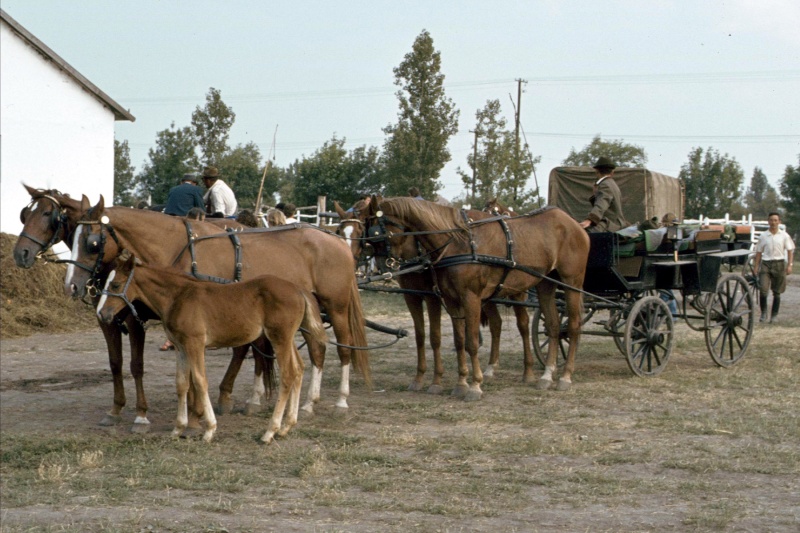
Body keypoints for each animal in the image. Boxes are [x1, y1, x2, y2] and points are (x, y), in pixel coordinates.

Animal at [14, 185, 276, 430]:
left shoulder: (136, 319)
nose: (20, 253)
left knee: (249, 348)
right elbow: (116, 363)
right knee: (248, 348)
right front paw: (116, 409)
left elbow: (137, 365)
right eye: (25, 215)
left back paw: (248, 399)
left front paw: (143, 415)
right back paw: (231, 397)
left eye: (49, 215)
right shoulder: (106, 318)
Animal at [63, 197, 372, 414]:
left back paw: (341, 401)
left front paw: (193, 410)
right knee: (318, 350)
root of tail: (337, 240)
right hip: (309, 313)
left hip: (336, 307)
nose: (71, 285)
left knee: (344, 348)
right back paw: (308, 402)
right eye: (71, 237)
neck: (179, 248)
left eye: (92, 242)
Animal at [97, 251, 328, 442]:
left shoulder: (195, 344)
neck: (178, 297)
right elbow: (181, 383)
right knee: (299, 369)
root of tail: (299, 290)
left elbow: (200, 382)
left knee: (289, 374)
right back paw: (286, 426)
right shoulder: (180, 347)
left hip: (279, 338)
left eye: (115, 285)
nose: (102, 314)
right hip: (286, 339)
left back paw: (270, 431)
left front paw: (209, 430)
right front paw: (177, 429)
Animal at [334, 200, 536, 390]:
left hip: (517, 292)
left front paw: (436, 380)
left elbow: (435, 336)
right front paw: (419, 378)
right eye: (339, 231)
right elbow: (420, 335)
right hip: (489, 295)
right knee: (496, 324)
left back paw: (528, 370)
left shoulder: (432, 296)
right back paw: (491, 367)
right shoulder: (412, 296)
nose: (347, 265)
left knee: (523, 326)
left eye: (362, 232)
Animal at [364, 195, 588, 400]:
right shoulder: (451, 300)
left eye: (377, 233)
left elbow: (471, 342)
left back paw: (564, 376)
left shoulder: (469, 298)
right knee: (553, 326)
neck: (458, 241)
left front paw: (474, 385)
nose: (383, 267)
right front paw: (461, 382)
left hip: (570, 284)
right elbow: (458, 341)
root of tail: (574, 224)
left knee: (571, 326)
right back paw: (547, 375)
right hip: (545, 284)